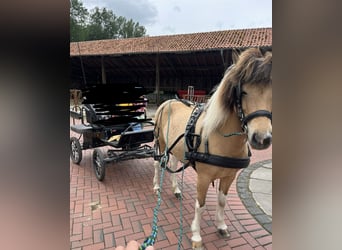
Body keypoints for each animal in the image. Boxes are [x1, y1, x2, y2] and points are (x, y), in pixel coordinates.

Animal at [152, 47, 272, 248]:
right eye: (242, 92)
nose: (262, 138)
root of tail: (168, 101)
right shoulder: (204, 177)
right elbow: (200, 205)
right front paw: (196, 235)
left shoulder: (229, 176)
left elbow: (222, 201)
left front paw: (221, 226)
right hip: (160, 142)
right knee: (157, 163)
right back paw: (156, 186)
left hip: (174, 146)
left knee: (174, 163)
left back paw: (176, 189)